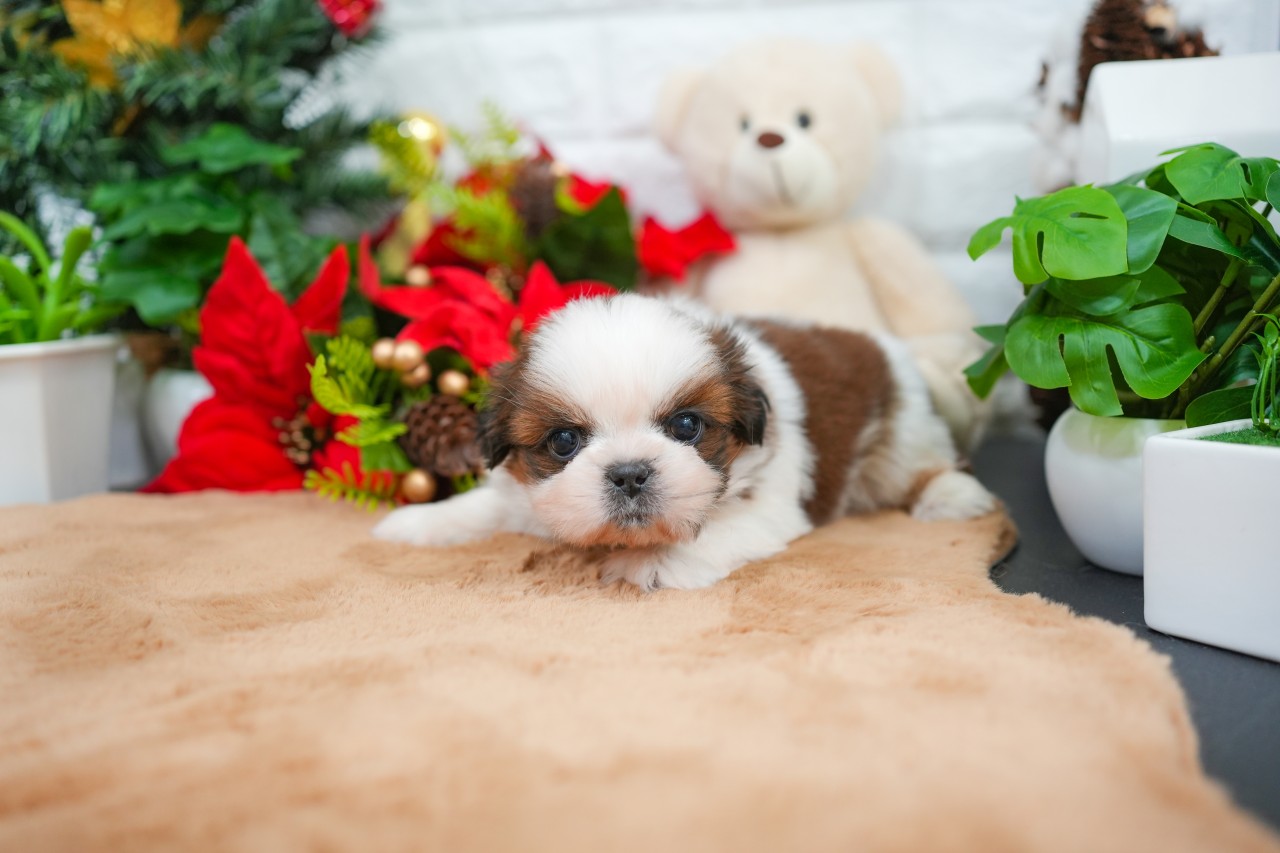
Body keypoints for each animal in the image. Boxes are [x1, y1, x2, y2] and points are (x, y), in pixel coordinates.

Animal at [373, 294, 995, 590]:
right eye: (564, 440)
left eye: (687, 427)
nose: (628, 473)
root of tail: (889, 350)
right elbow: (487, 504)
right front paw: (422, 523)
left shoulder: (769, 504)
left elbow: (717, 529)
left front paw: (652, 563)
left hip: (902, 441)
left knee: (929, 466)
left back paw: (951, 496)